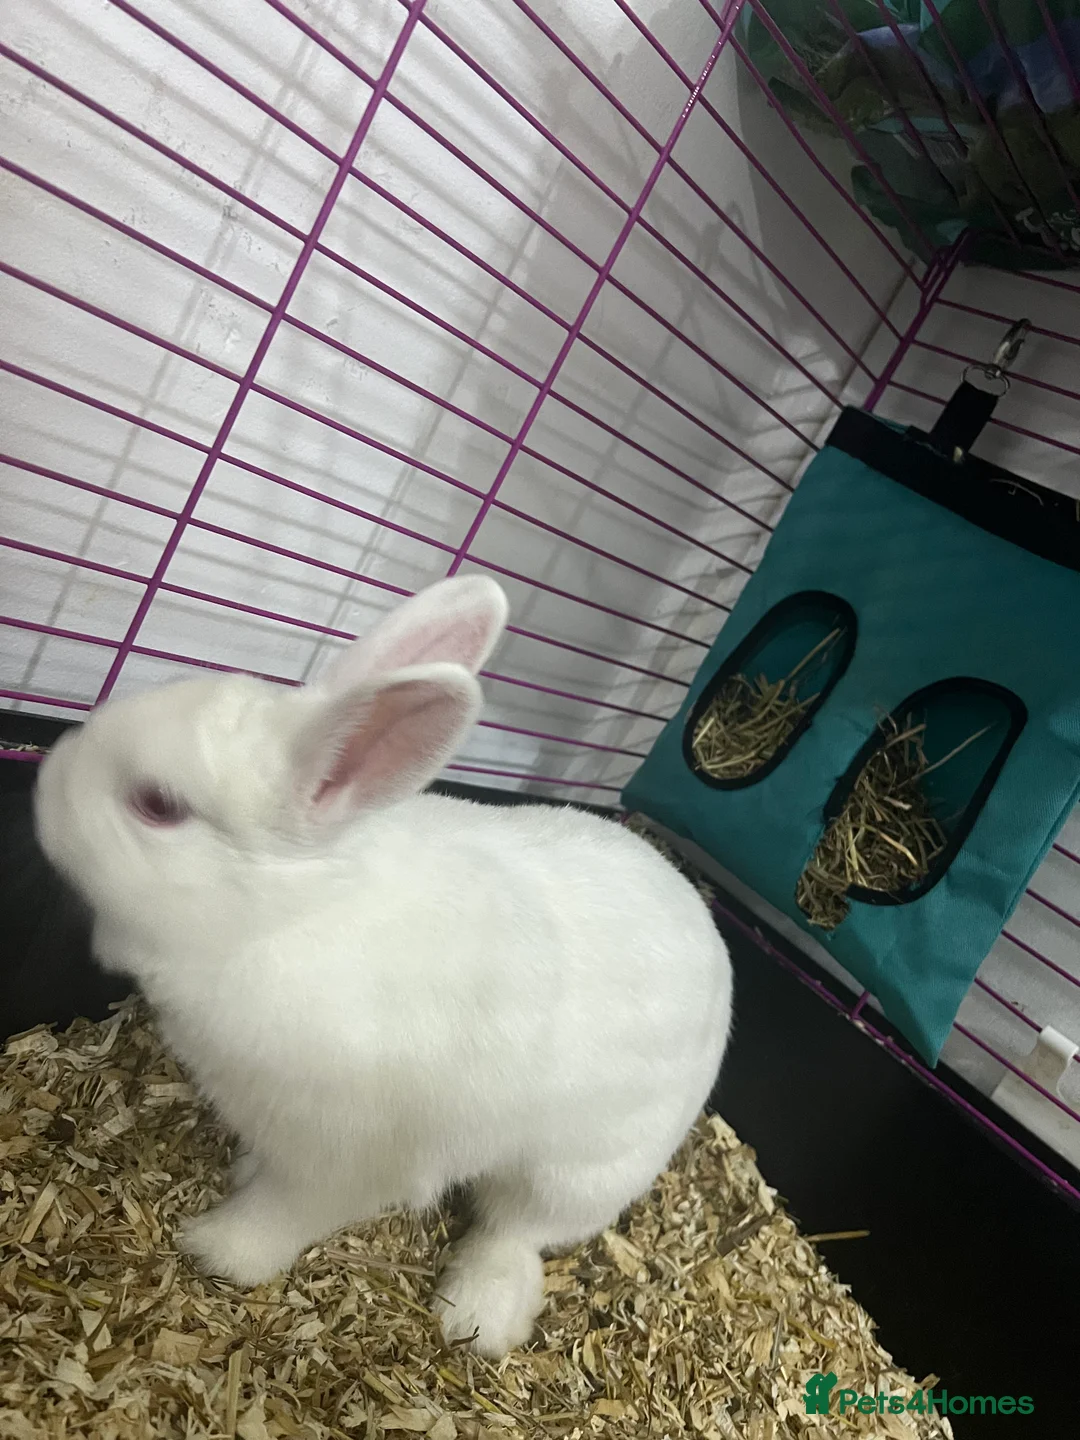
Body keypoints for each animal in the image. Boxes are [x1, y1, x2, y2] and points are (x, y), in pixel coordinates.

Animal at [33, 575, 733, 1357]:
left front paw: (216, 1248)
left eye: (156, 805)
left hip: (577, 1172)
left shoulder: (343, 1160)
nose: (46, 782)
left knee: (516, 1232)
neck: (285, 917)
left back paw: (475, 1316)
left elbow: (283, 1212)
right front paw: (239, 1176)